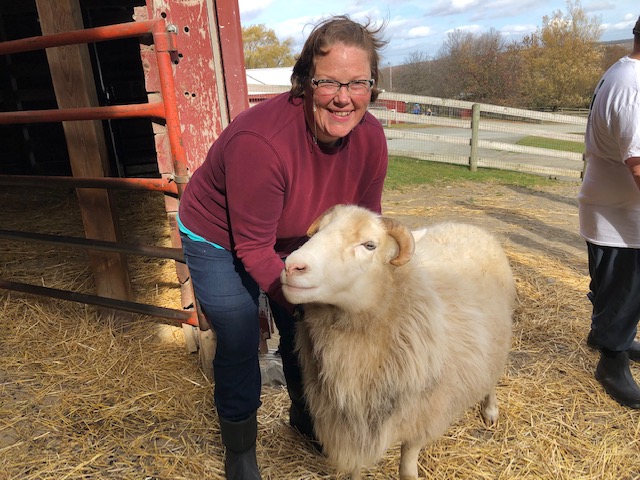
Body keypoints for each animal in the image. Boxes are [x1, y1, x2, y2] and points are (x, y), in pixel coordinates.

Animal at [280, 203, 516, 480]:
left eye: (369, 245)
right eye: (317, 232)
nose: (292, 267)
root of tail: (466, 225)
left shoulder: (420, 419)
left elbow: (407, 471)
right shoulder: (351, 424)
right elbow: (356, 470)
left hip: (498, 339)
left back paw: (490, 411)